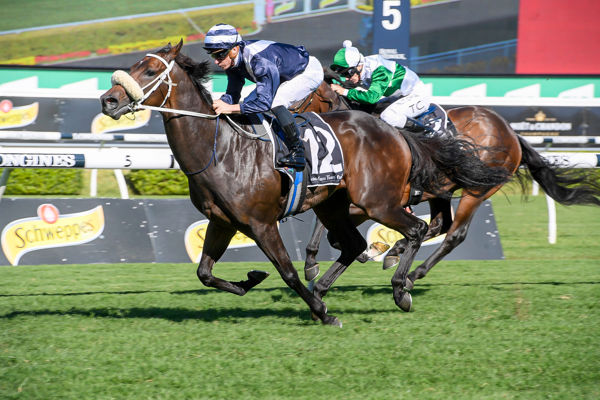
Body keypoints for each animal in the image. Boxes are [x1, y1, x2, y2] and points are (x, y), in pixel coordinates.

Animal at [100, 41, 511, 325]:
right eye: (134, 66)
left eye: (149, 70)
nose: (108, 100)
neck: (221, 150)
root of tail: (394, 132)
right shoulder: (222, 222)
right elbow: (205, 273)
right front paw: (251, 279)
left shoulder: (261, 223)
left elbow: (288, 271)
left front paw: (323, 311)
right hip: (337, 203)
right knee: (360, 242)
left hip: (380, 201)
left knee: (421, 229)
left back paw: (402, 286)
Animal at [299, 71, 600, 295]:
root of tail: (510, 132)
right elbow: (326, 225)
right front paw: (319, 260)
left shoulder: (372, 202)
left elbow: (329, 228)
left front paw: (325, 260)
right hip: (441, 192)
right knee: (439, 225)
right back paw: (397, 252)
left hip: (477, 190)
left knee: (455, 233)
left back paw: (413, 274)